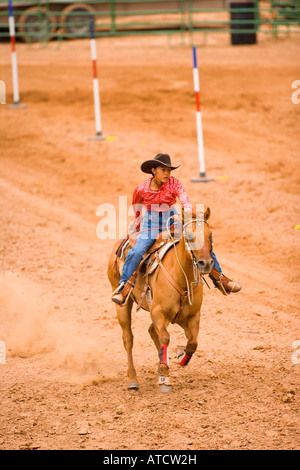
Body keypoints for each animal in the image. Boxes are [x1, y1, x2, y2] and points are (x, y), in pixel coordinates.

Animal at [106, 207, 212, 392]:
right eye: (189, 235)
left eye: (210, 235)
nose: (205, 263)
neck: (181, 276)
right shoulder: (158, 312)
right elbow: (165, 338)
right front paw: (164, 374)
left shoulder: (193, 316)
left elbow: (192, 343)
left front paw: (180, 357)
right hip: (122, 304)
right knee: (128, 338)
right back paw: (133, 379)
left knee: (151, 330)